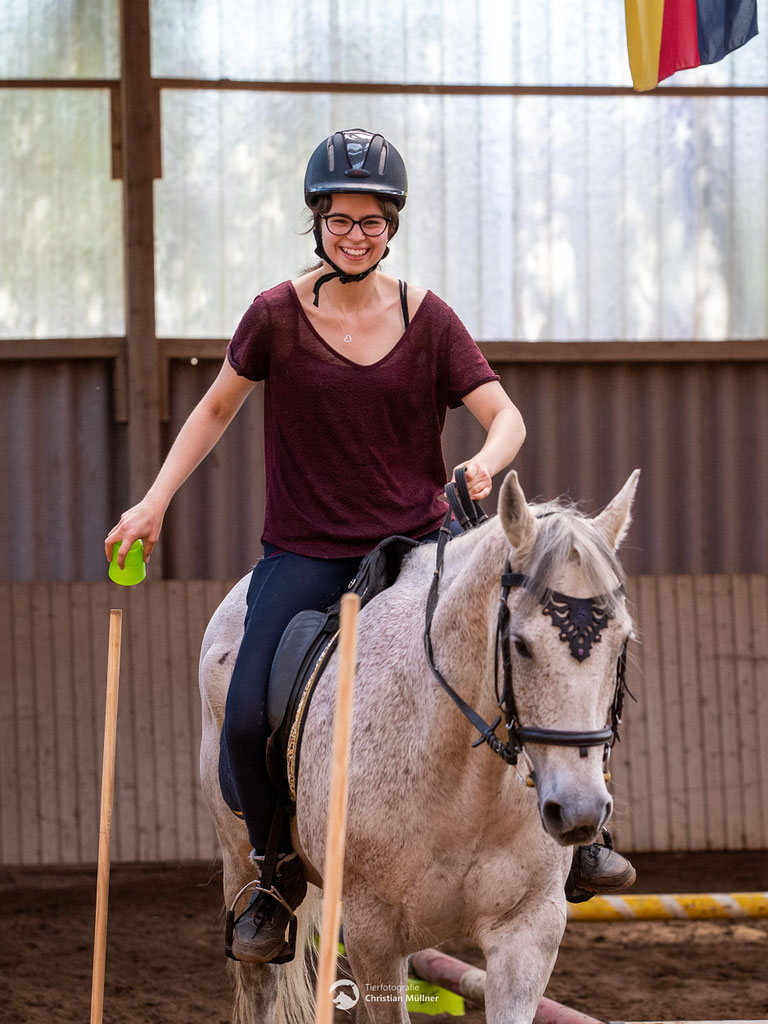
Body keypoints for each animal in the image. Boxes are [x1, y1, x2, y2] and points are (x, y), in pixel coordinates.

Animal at [199, 468, 639, 1024]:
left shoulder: (528, 930)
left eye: (622, 641)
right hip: (243, 862)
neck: (462, 782)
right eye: (519, 644)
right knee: (260, 974)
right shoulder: (372, 935)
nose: (580, 812)